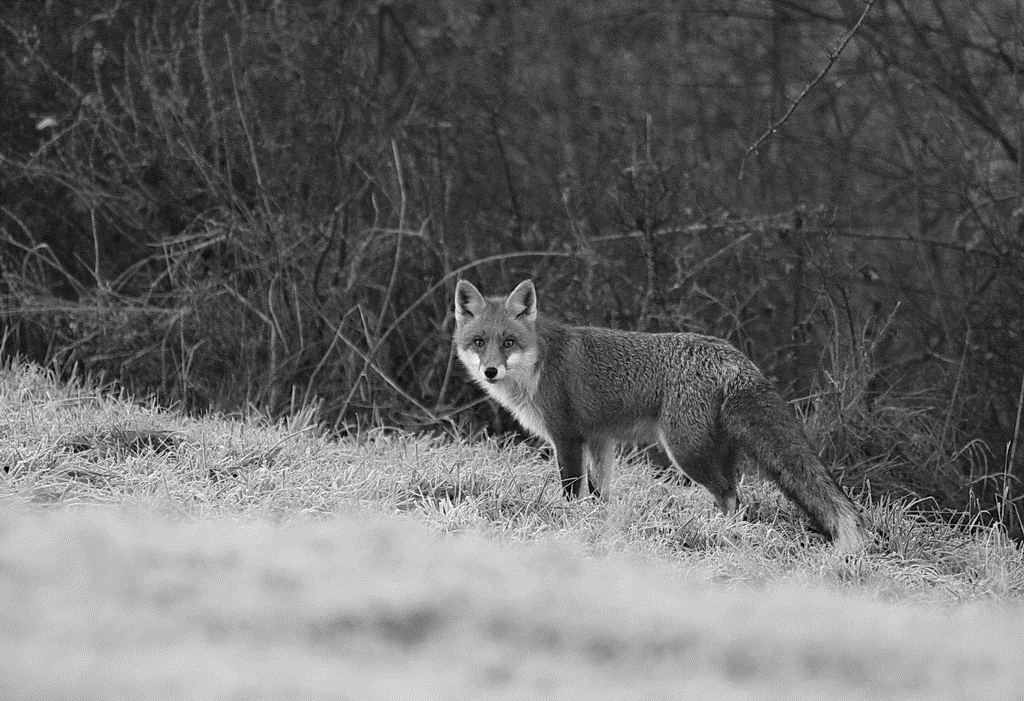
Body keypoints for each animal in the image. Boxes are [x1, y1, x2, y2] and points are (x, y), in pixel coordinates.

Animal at [452, 278, 868, 552]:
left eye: (508, 342)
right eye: (479, 342)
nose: (490, 371)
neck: (539, 364)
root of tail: (736, 357)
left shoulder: (567, 437)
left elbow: (571, 491)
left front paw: (570, 521)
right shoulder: (599, 439)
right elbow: (601, 491)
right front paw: (600, 521)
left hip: (684, 450)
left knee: (728, 494)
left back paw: (719, 532)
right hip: (714, 449)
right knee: (735, 489)